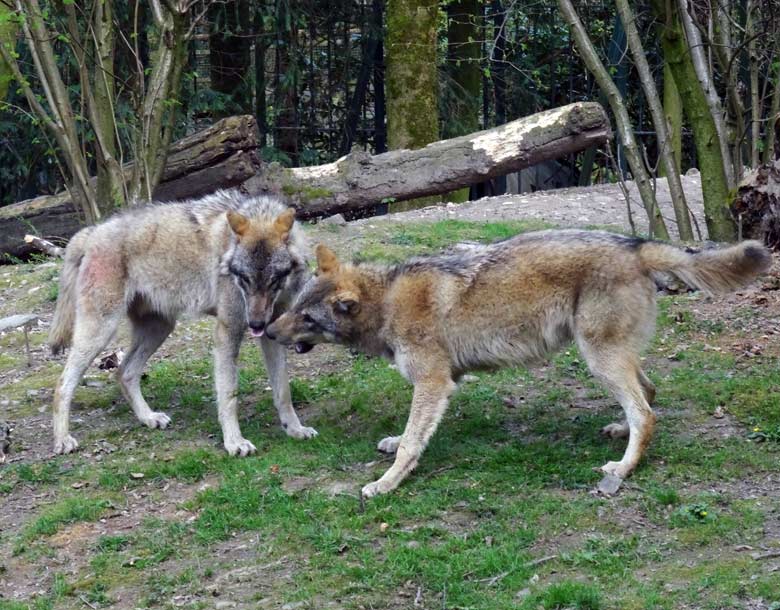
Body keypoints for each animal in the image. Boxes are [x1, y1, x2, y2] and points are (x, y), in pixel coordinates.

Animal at [48, 192, 316, 454]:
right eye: (244, 279)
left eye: (273, 280)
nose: (256, 324)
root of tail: (91, 232)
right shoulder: (227, 333)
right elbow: (229, 395)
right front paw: (234, 442)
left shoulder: (273, 332)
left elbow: (283, 390)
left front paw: (295, 429)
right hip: (100, 333)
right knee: (62, 384)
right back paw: (62, 440)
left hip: (159, 329)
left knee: (124, 373)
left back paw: (149, 418)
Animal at [266, 228, 772, 494]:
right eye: (296, 307)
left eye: (305, 317)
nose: (267, 332)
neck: (386, 302)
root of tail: (634, 243)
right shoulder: (440, 384)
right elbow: (410, 436)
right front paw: (391, 445)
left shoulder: (434, 383)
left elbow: (413, 442)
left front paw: (386, 483)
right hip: (610, 357)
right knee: (648, 394)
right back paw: (619, 431)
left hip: (599, 358)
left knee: (646, 413)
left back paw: (623, 469)